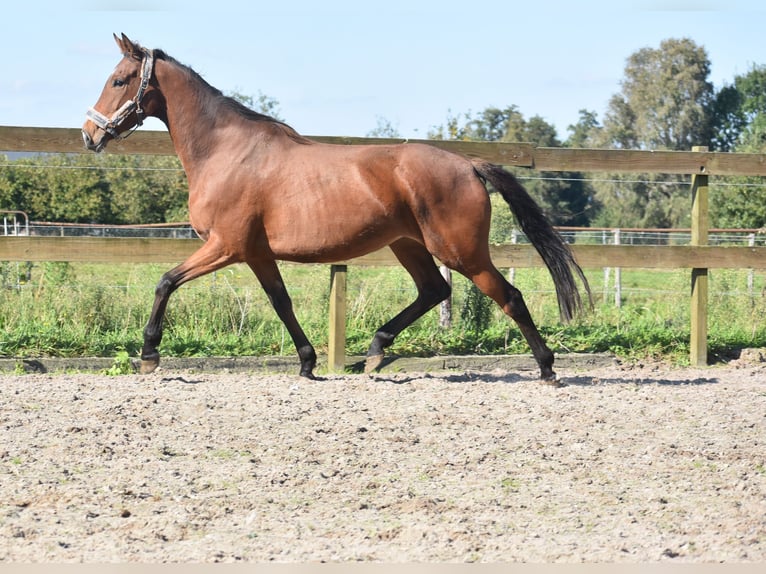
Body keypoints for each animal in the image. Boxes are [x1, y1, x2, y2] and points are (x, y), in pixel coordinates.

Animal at [81, 32, 592, 382]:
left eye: (120, 79)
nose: (90, 135)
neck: (226, 152)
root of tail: (468, 164)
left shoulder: (226, 246)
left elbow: (165, 282)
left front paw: (149, 355)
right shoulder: (256, 253)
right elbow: (281, 301)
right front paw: (308, 364)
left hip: (461, 252)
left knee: (509, 296)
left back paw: (547, 369)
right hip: (409, 246)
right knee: (433, 291)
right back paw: (375, 350)